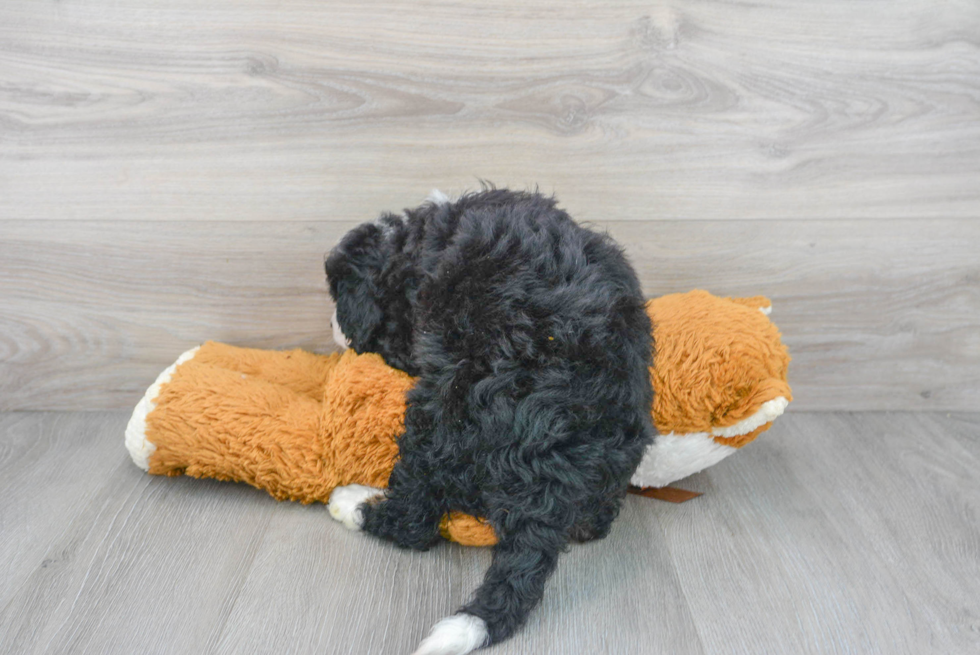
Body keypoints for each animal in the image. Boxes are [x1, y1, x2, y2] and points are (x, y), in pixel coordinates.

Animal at [326, 187, 656, 652]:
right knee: (596, 520)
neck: (418, 246)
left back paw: (352, 502)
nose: (333, 328)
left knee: (415, 520)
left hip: (440, 413)